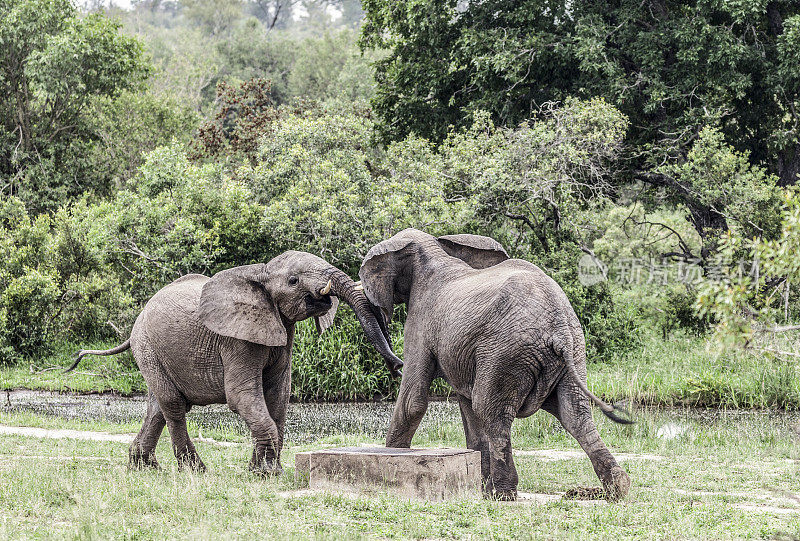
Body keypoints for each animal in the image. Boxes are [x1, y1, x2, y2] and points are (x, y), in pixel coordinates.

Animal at [68, 251, 404, 474]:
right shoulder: (235, 340)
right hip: (147, 346)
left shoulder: (281, 332)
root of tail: (135, 323)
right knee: (173, 405)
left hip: (155, 350)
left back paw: (145, 468)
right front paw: (266, 473)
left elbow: (278, 396)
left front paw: (264, 471)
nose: (398, 366)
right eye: (294, 280)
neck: (262, 273)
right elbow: (243, 396)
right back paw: (195, 471)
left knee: (158, 407)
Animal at [360, 228, 632, 502]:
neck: (432, 250)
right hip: (572, 352)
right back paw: (618, 487)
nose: (396, 365)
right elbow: (466, 407)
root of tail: (559, 328)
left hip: (506, 352)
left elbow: (412, 402)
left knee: (491, 412)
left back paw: (503, 494)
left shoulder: (420, 321)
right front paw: (479, 486)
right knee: (575, 415)